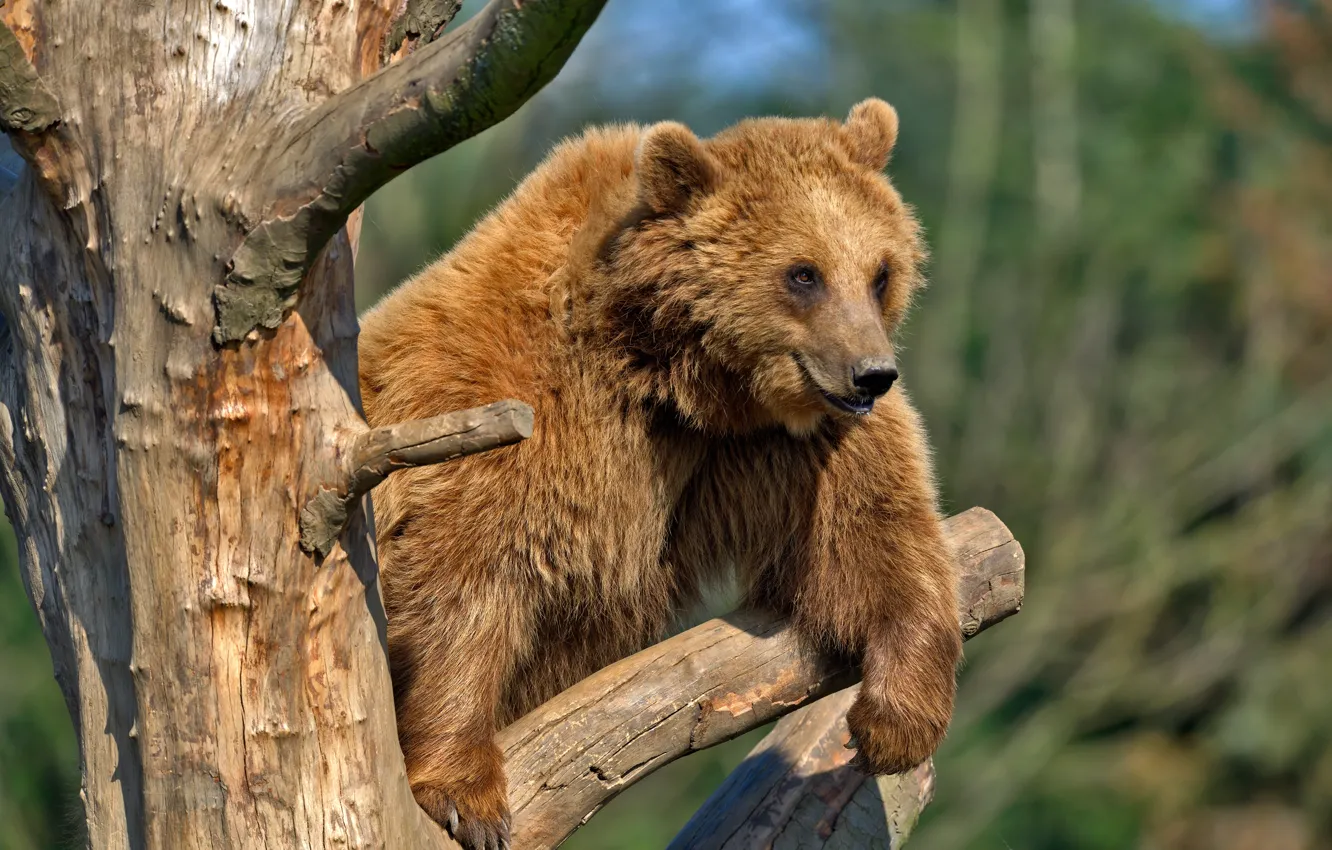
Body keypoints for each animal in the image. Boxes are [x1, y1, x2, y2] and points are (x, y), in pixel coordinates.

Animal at [357, 99, 961, 850]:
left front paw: (893, 721)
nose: (871, 374)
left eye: (881, 272)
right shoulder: (495, 405)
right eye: (804, 273)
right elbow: (462, 574)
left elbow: (871, 538)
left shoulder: (779, 444)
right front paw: (468, 795)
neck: (670, 372)